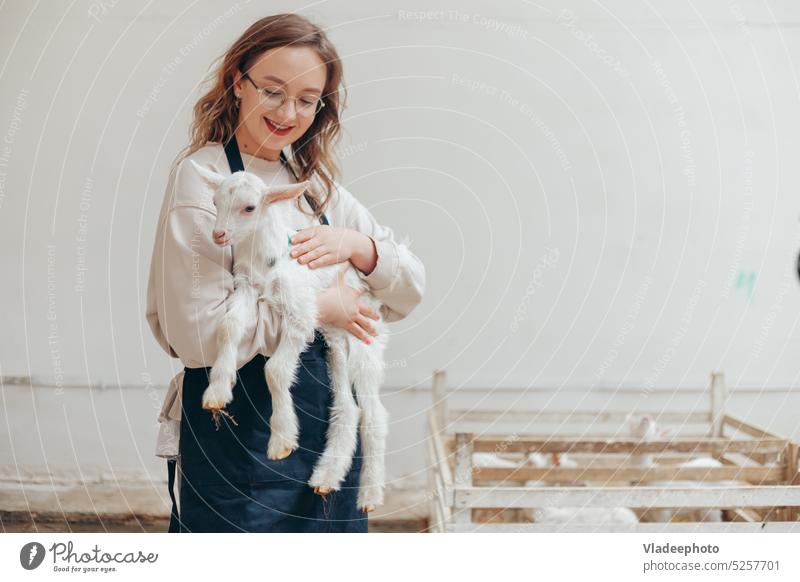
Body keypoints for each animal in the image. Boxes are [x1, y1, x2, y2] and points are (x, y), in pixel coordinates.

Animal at [194, 162, 394, 512]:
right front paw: (217, 390)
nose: (219, 235)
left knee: (373, 413)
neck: (268, 258)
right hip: (335, 342)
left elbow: (274, 370)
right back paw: (326, 478)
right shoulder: (247, 288)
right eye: (215, 202)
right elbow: (227, 326)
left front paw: (282, 439)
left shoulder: (300, 310)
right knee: (348, 407)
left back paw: (369, 494)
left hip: (365, 338)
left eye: (250, 207)